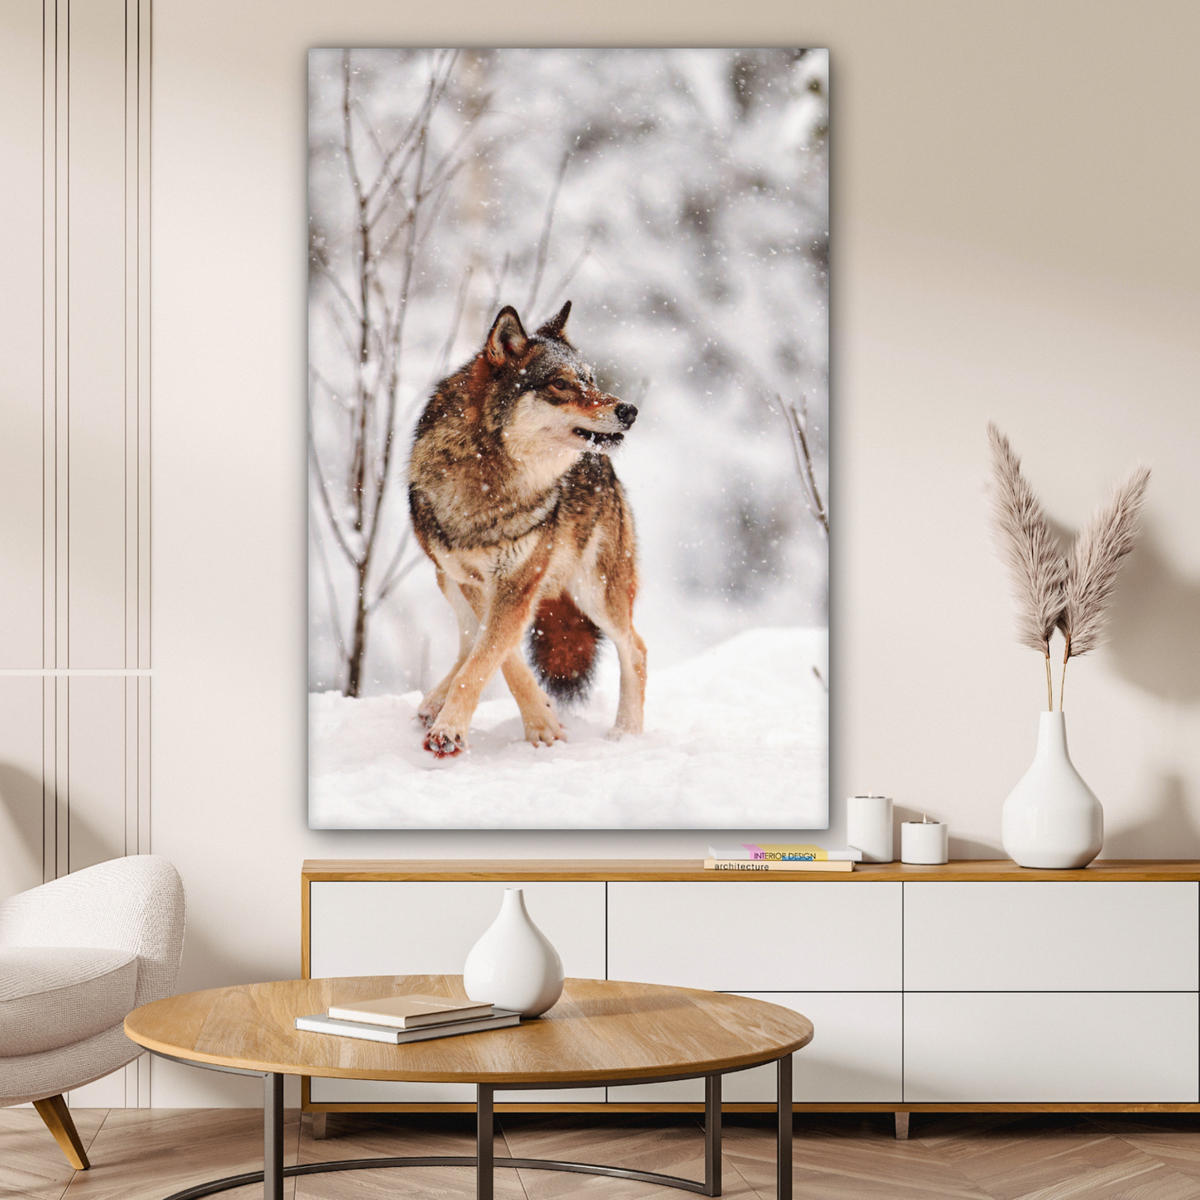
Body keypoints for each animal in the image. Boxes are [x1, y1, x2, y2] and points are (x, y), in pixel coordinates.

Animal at [407, 300, 646, 758]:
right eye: (561, 384)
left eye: (591, 380)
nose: (629, 410)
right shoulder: (477, 581)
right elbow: (498, 657)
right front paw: (542, 721)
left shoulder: (517, 583)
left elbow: (487, 658)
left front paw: (453, 731)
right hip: (446, 579)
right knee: (468, 640)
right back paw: (433, 702)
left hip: (595, 592)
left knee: (636, 650)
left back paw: (626, 734)